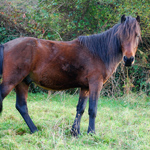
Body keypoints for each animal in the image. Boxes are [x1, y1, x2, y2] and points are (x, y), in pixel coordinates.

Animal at [0, 15, 141, 136]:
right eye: (121, 35)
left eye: (137, 35)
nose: (129, 59)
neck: (98, 53)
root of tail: (6, 45)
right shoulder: (95, 84)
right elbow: (92, 109)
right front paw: (91, 133)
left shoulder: (85, 87)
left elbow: (80, 109)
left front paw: (75, 133)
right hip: (11, 81)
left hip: (22, 82)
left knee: (22, 106)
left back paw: (35, 130)